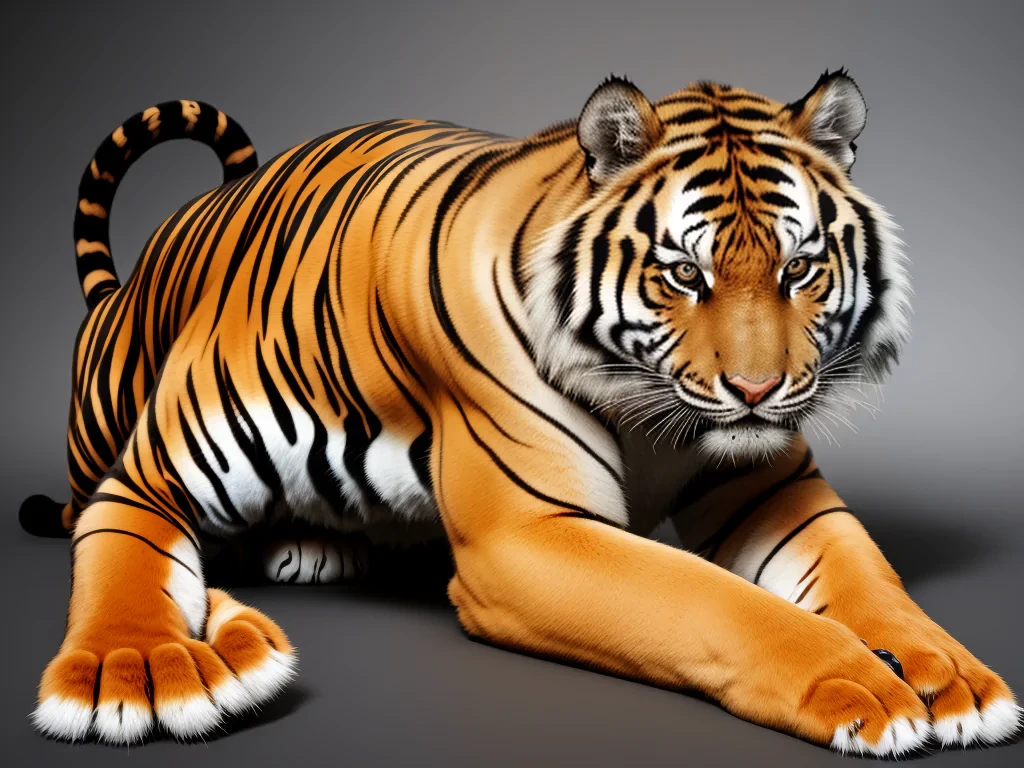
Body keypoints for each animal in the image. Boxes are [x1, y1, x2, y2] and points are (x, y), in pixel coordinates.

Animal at [21, 72, 1020, 755]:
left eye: (800, 268)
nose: (756, 391)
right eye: (684, 274)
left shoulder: (775, 494)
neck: (652, 413)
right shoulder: (530, 534)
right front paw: (137, 674)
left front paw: (946, 674)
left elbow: (869, 578)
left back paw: (313, 545)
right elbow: (713, 599)